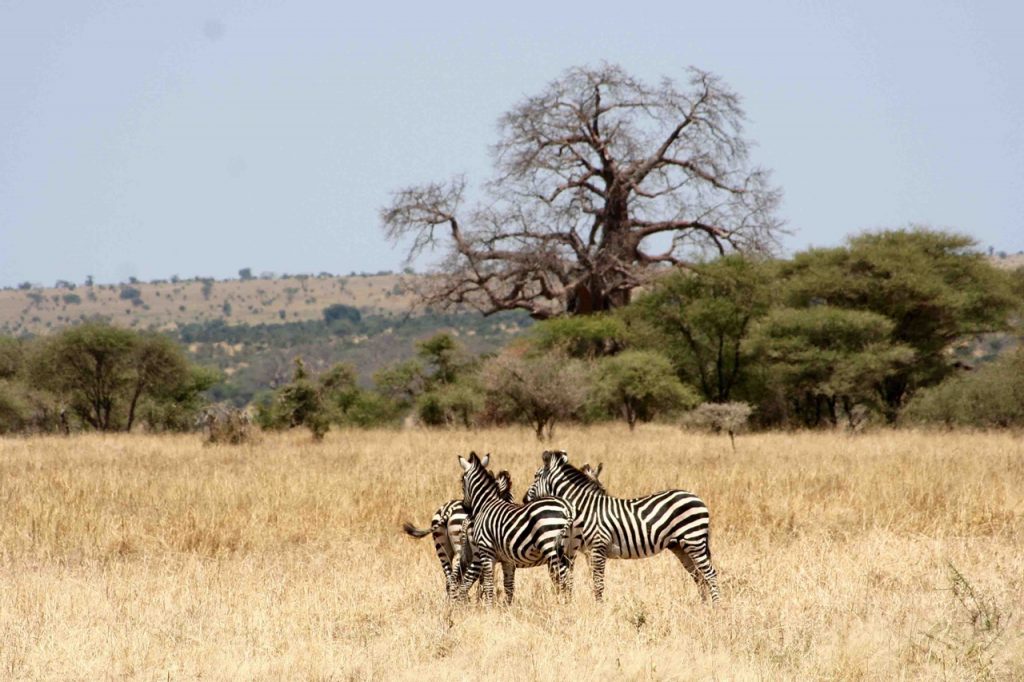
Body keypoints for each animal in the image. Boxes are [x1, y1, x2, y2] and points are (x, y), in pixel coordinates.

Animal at [454, 450, 577, 602]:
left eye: (462, 481)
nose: (465, 507)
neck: (485, 504)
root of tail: (566, 508)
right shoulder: (506, 559)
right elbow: (508, 585)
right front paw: (506, 606)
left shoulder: (486, 550)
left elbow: (489, 584)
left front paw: (489, 606)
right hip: (566, 550)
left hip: (550, 546)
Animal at [528, 448, 720, 602]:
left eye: (536, 476)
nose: (524, 499)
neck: (584, 508)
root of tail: (697, 498)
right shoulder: (587, 552)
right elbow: (590, 580)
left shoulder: (598, 547)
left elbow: (598, 582)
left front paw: (599, 608)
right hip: (680, 546)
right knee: (698, 575)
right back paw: (704, 606)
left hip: (694, 539)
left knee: (710, 574)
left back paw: (717, 607)